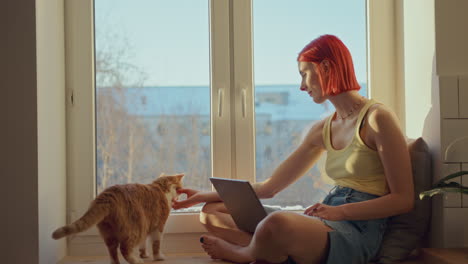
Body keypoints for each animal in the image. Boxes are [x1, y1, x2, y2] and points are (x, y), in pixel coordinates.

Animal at [51, 173, 183, 264]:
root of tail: (107, 196)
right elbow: (156, 244)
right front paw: (158, 257)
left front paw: (144, 254)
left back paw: (117, 262)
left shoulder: (147, 226)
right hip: (134, 228)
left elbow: (143, 243)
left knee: (112, 250)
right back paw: (136, 261)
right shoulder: (158, 226)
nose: (178, 198)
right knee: (124, 249)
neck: (160, 188)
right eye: (180, 189)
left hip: (109, 233)